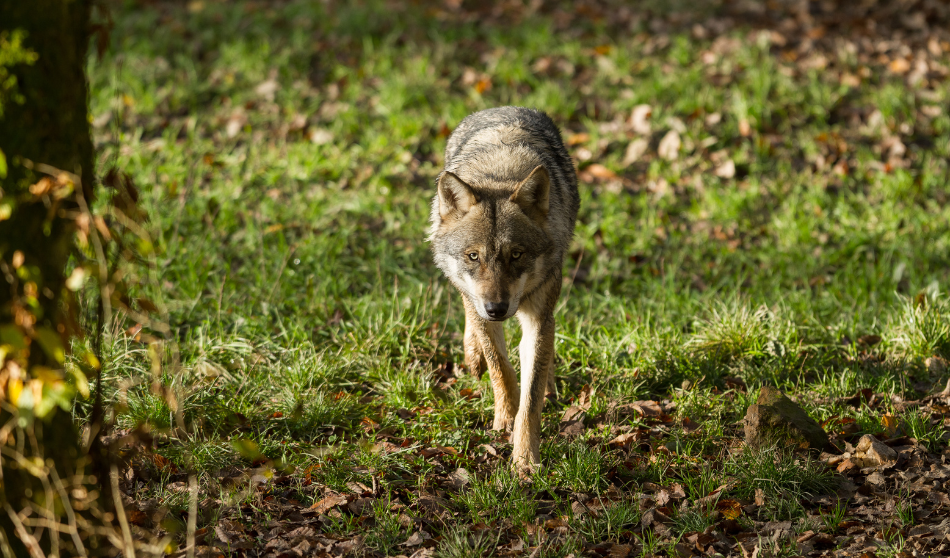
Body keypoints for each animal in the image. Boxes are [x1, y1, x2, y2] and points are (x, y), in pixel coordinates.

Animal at [430, 106, 580, 472]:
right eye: (473, 255)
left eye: (516, 255)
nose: (497, 309)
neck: (500, 175)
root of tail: (503, 107)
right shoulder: (481, 307)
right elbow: (501, 368)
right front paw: (504, 419)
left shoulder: (538, 319)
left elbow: (531, 399)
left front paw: (525, 460)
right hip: (467, 294)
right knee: (471, 318)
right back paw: (472, 356)